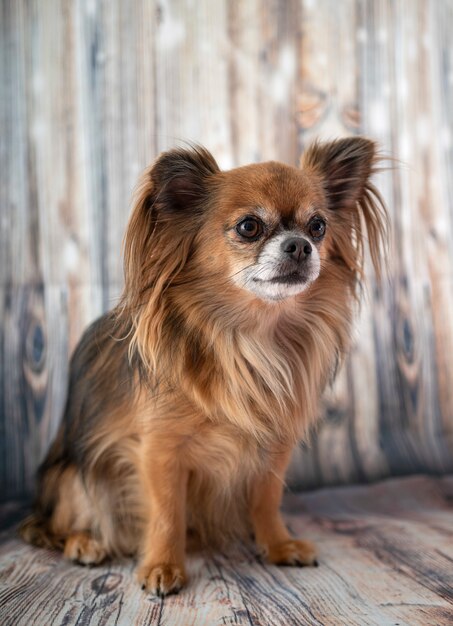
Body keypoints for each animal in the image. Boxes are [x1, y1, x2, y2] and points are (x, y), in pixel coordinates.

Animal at [20, 136, 384, 596]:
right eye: (249, 227)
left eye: (318, 226)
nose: (300, 245)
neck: (250, 339)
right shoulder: (158, 450)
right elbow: (166, 513)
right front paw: (162, 565)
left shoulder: (273, 449)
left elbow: (267, 500)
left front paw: (278, 544)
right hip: (74, 480)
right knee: (58, 525)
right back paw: (85, 543)